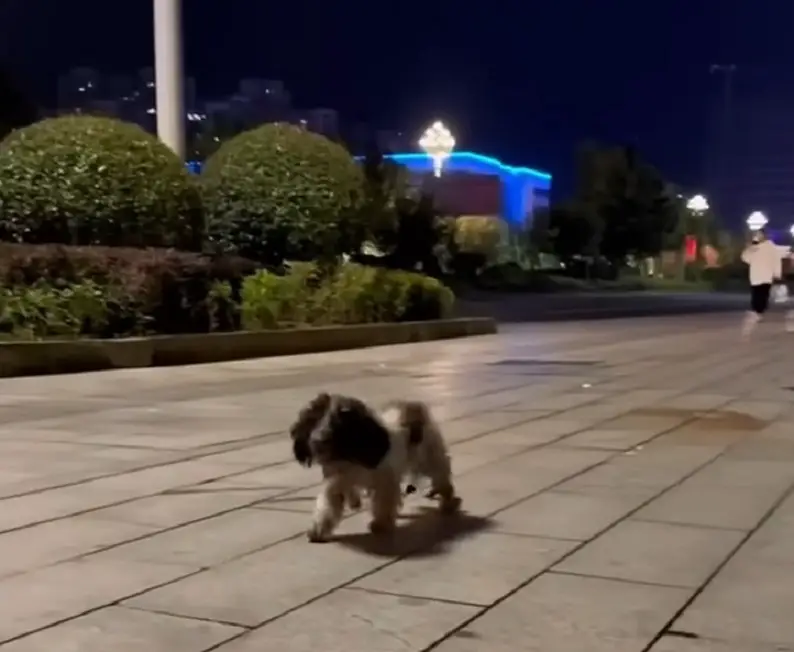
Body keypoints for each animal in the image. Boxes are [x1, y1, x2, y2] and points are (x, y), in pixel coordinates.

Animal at [288, 394, 458, 544]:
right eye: (316, 419)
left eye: (341, 423)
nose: (318, 440)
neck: (349, 457)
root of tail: (414, 407)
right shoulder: (336, 482)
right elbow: (328, 504)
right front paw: (318, 530)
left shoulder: (385, 481)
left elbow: (383, 502)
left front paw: (380, 524)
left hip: (429, 457)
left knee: (442, 475)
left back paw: (447, 501)